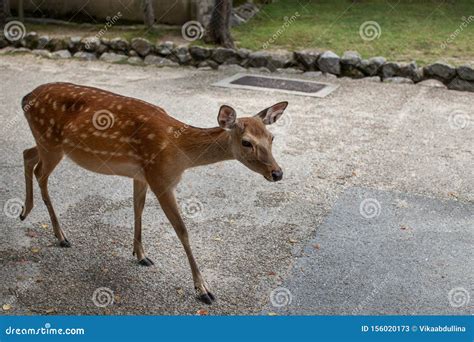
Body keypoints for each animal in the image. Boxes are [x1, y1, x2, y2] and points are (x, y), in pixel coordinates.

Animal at [18, 83, 286, 304]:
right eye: (246, 142)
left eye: (272, 137)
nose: (277, 173)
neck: (181, 154)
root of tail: (26, 97)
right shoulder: (161, 178)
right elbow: (182, 230)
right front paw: (204, 290)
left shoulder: (142, 174)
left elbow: (138, 207)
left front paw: (140, 254)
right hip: (50, 142)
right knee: (40, 173)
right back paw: (59, 234)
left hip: (49, 144)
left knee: (27, 154)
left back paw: (25, 212)